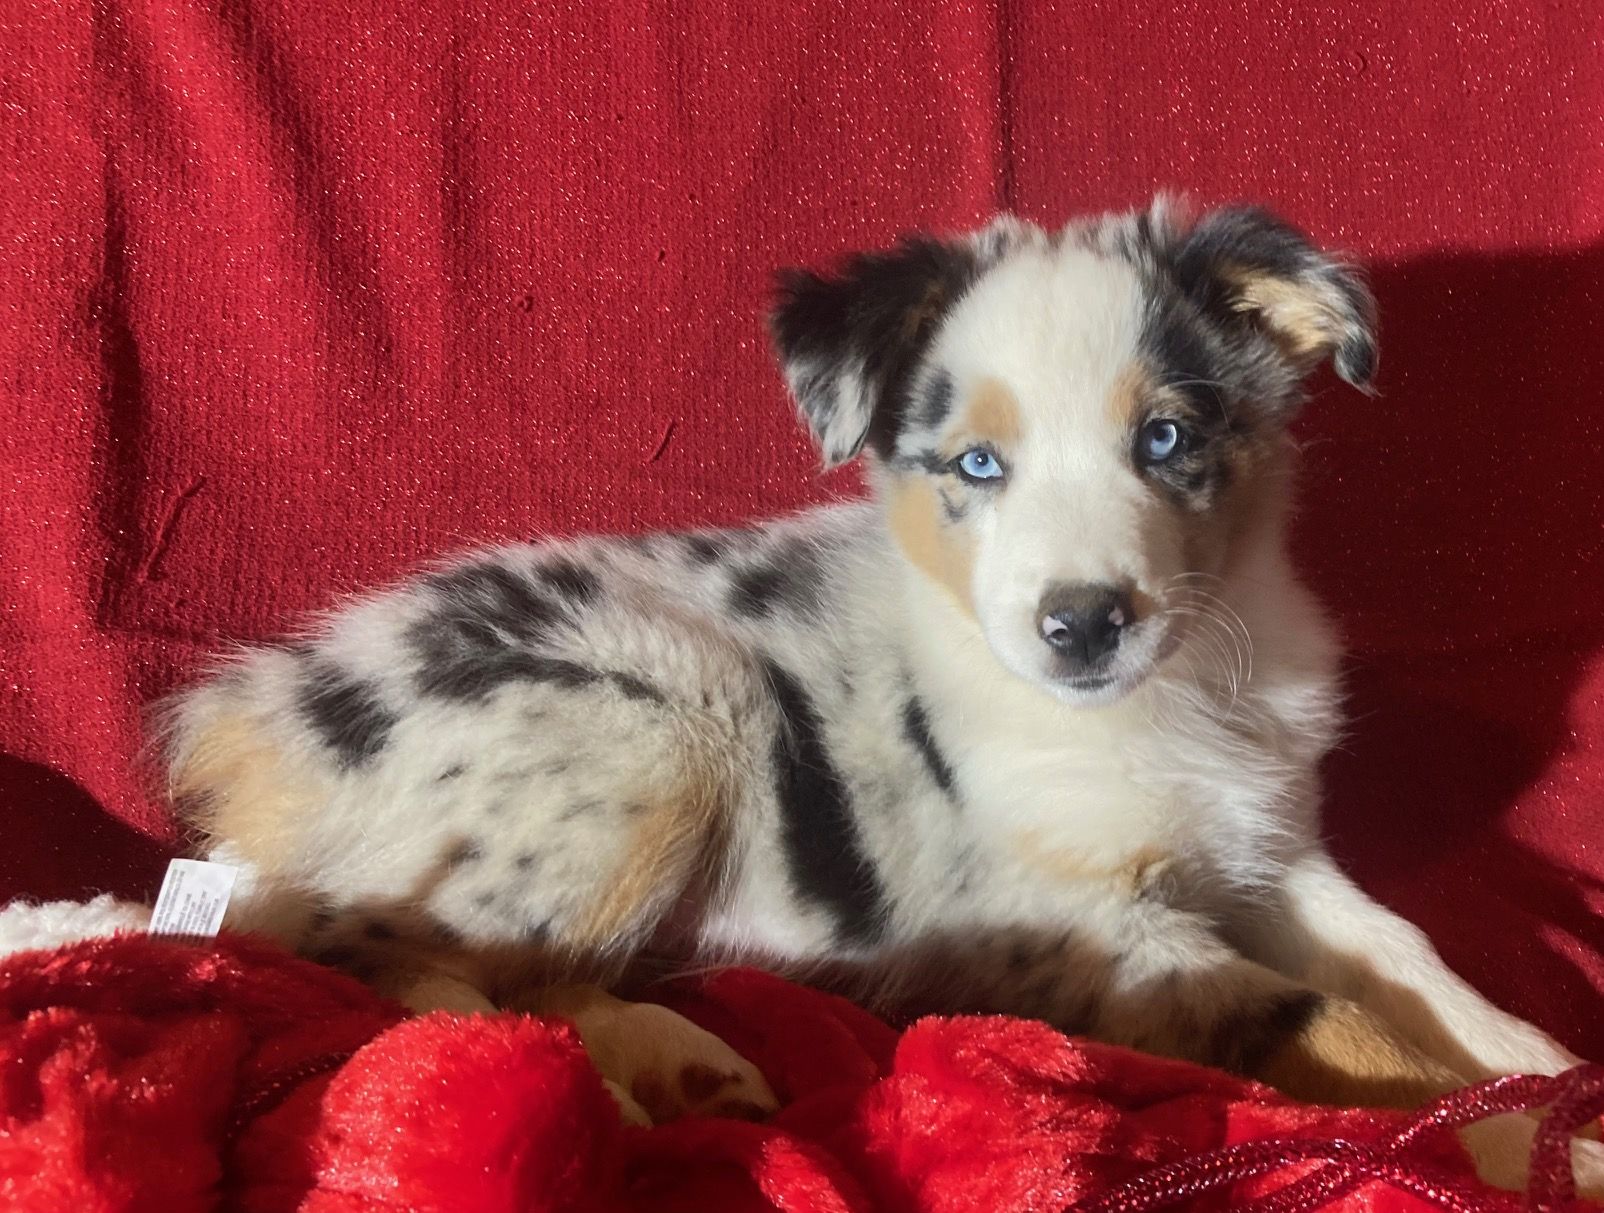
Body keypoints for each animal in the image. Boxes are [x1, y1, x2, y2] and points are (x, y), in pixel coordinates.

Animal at [160, 197, 1594, 1186]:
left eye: (1167, 438)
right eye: (975, 463)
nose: (1083, 624)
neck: (1171, 694)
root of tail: (258, 712)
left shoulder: (1266, 849)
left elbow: (1414, 965)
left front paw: (1547, 1080)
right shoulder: (1071, 921)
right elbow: (1336, 1017)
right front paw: (1532, 1145)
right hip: (658, 719)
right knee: (371, 950)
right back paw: (616, 1086)